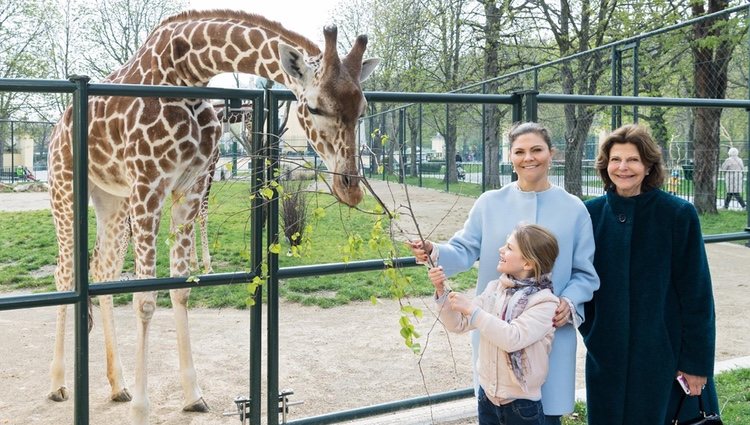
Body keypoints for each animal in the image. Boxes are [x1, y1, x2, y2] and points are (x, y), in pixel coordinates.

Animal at [45, 9, 382, 424]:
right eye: (315, 107)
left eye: (363, 109)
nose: (350, 188)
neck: (187, 72)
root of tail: (59, 125)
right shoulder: (149, 185)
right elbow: (145, 299)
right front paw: (143, 408)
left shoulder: (188, 188)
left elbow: (181, 288)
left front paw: (192, 394)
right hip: (65, 187)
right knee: (65, 274)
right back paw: (58, 383)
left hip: (112, 199)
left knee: (102, 270)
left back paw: (117, 384)